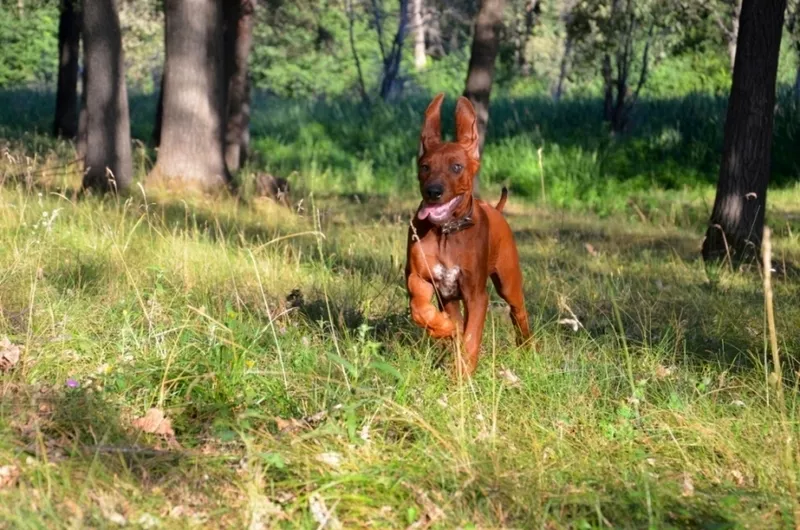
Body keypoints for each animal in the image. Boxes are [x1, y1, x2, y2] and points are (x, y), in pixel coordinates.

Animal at [406, 94, 532, 376]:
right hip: (451, 298)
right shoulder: (420, 277)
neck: (446, 232)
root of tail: (495, 209)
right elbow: (420, 308)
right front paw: (441, 327)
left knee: (518, 313)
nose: (433, 192)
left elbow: (472, 336)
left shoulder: (476, 295)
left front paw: (462, 376)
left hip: (508, 283)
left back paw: (528, 350)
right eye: (425, 167)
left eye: (456, 167)